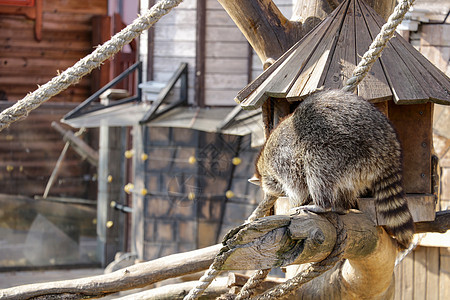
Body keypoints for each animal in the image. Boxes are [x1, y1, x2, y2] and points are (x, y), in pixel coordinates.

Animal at [253, 88, 414, 248]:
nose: (275, 196)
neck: (265, 164)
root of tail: (389, 147)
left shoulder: (283, 160)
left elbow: (297, 187)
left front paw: (296, 201)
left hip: (342, 147)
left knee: (316, 169)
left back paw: (321, 205)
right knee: (345, 186)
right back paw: (342, 206)